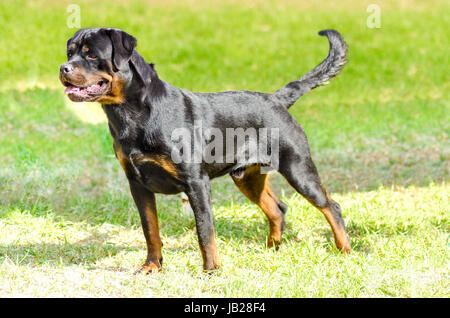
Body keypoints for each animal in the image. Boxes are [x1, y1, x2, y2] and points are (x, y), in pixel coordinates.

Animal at [59, 27, 352, 274]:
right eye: (70, 52)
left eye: (92, 54)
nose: (63, 68)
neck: (133, 115)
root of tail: (276, 99)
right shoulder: (137, 184)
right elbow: (150, 230)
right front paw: (152, 266)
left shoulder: (196, 183)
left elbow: (204, 230)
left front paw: (211, 270)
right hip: (246, 177)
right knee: (278, 208)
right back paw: (271, 249)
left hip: (298, 168)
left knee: (331, 207)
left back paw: (345, 251)